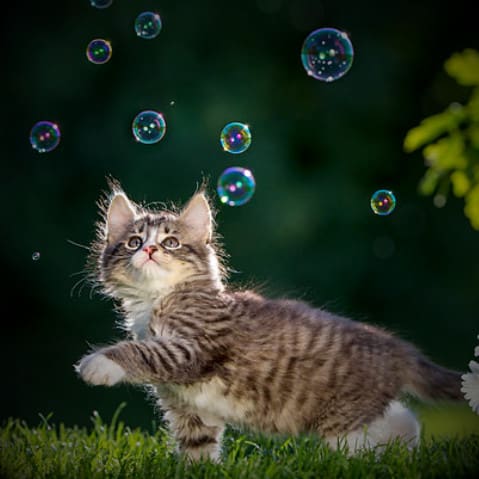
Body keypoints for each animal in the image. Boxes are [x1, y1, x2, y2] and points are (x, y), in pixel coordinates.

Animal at [76, 183, 464, 462]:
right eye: (133, 241)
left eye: (171, 242)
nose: (149, 250)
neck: (157, 300)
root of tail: (398, 349)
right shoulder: (189, 406)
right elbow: (198, 446)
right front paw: (198, 470)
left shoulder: (193, 348)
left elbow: (143, 352)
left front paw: (99, 363)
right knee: (403, 422)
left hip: (343, 425)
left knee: (389, 432)